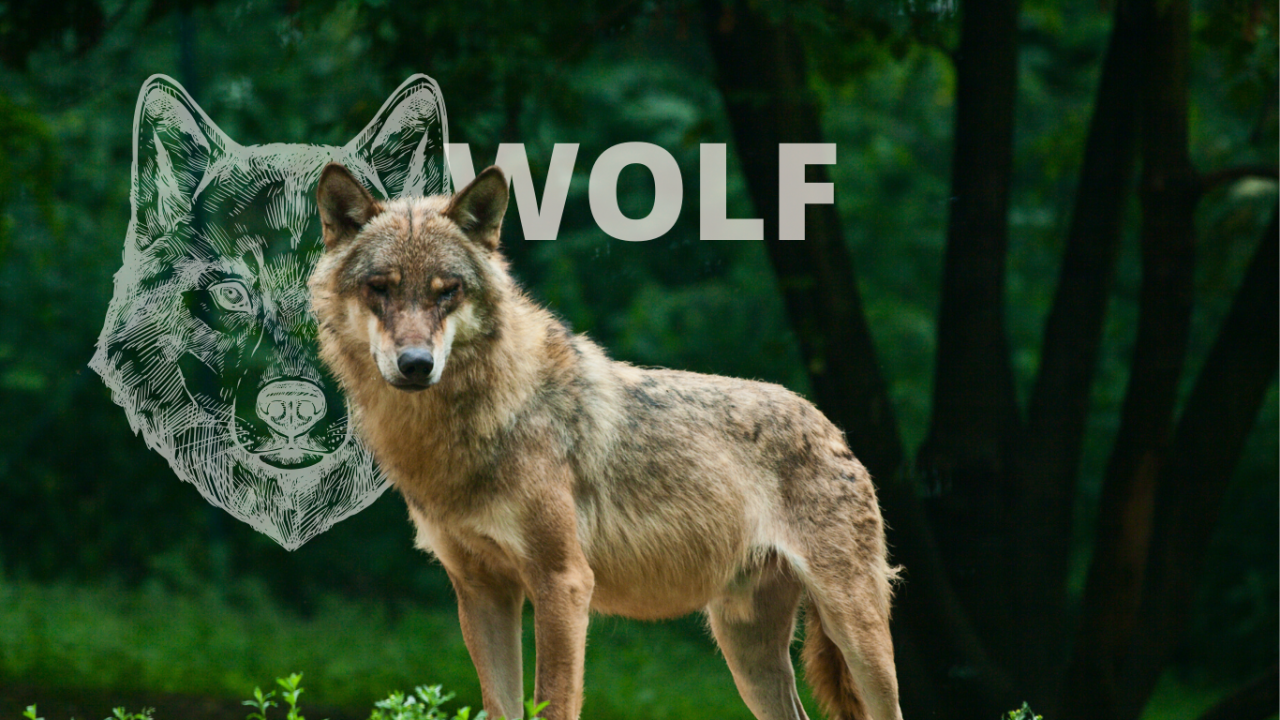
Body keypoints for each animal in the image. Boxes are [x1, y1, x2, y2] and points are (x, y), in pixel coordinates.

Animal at [309, 163, 905, 720]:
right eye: (380, 288)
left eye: (446, 291)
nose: (416, 364)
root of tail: (830, 427)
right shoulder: (481, 592)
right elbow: (501, 704)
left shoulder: (563, 583)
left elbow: (552, 701)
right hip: (747, 650)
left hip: (855, 631)